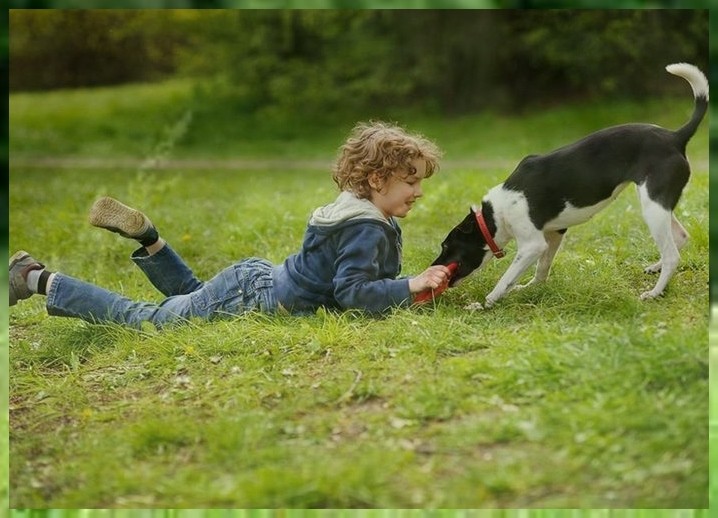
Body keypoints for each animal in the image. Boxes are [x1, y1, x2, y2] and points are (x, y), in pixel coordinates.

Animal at [434, 64, 708, 308]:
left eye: (446, 246)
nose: (432, 267)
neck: (495, 215)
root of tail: (675, 137)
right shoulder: (554, 233)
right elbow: (542, 268)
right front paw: (533, 288)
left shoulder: (532, 245)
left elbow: (506, 279)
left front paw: (487, 302)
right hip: (658, 205)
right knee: (680, 237)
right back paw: (655, 267)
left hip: (652, 206)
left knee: (672, 254)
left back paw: (654, 292)